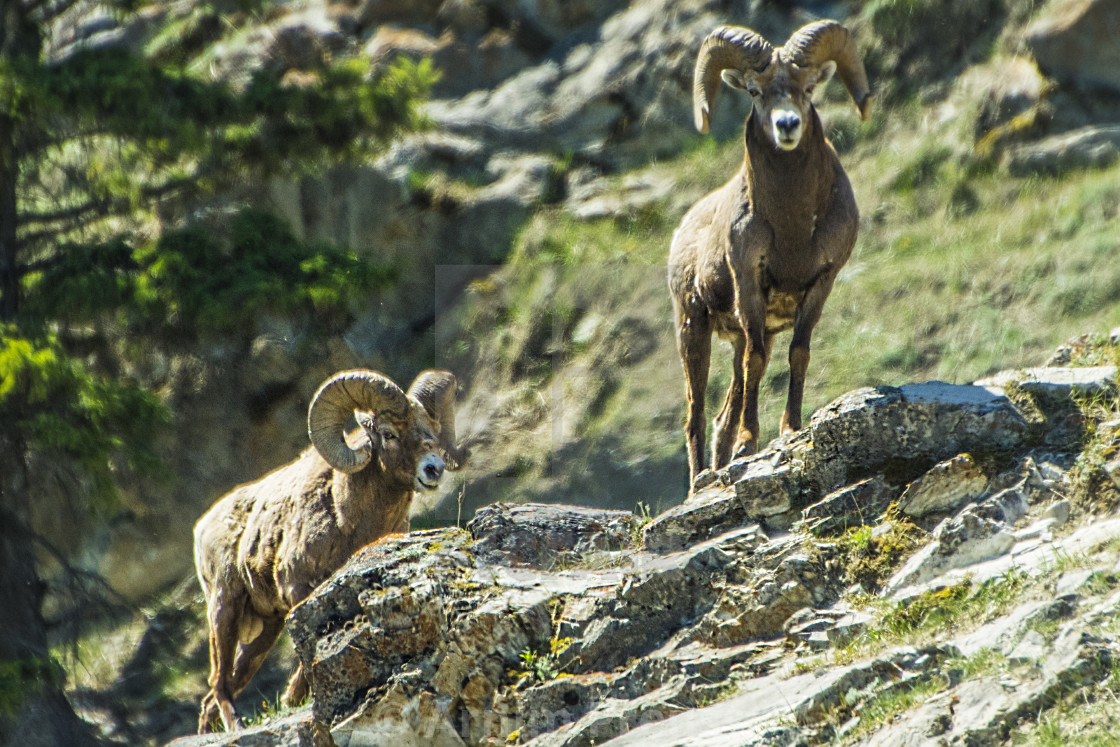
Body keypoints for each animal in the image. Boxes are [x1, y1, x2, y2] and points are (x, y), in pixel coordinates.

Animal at [194, 367, 465, 730]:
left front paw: (292, 698)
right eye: (389, 433)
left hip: (266, 629)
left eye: (432, 430)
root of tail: (202, 527)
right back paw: (235, 725)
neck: (345, 516)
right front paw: (294, 697)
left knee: (215, 693)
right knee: (218, 682)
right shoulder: (297, 589)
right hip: (225, 609)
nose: (433, 468)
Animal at [667, 19, 869, 490]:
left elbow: (799, 353)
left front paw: (790, 428)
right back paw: (701, 480)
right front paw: (748, 444)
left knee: (722, 414)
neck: (792, 226)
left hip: (732, 332)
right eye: (755, 91)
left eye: (808, 88)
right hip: (693, 327)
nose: (788, 124)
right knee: (696, 414)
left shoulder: (819, 285)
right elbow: (757, 361)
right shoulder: (749, 285)